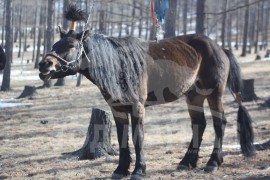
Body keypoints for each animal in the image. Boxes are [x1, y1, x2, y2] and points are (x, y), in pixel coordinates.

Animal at [38, 5, 255, 179]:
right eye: (54, 45)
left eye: (71, 45)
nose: (43, 65)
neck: (119, 65)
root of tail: (221, 48)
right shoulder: (118, 109)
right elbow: (122, 137)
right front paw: (121, 170)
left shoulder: (137, 107)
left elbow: (138, 138)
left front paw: (139, 170)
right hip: (194, 96)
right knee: (199, 124)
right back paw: (186, 162)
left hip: (214, 93)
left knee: (219, 123)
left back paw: (213, 163)